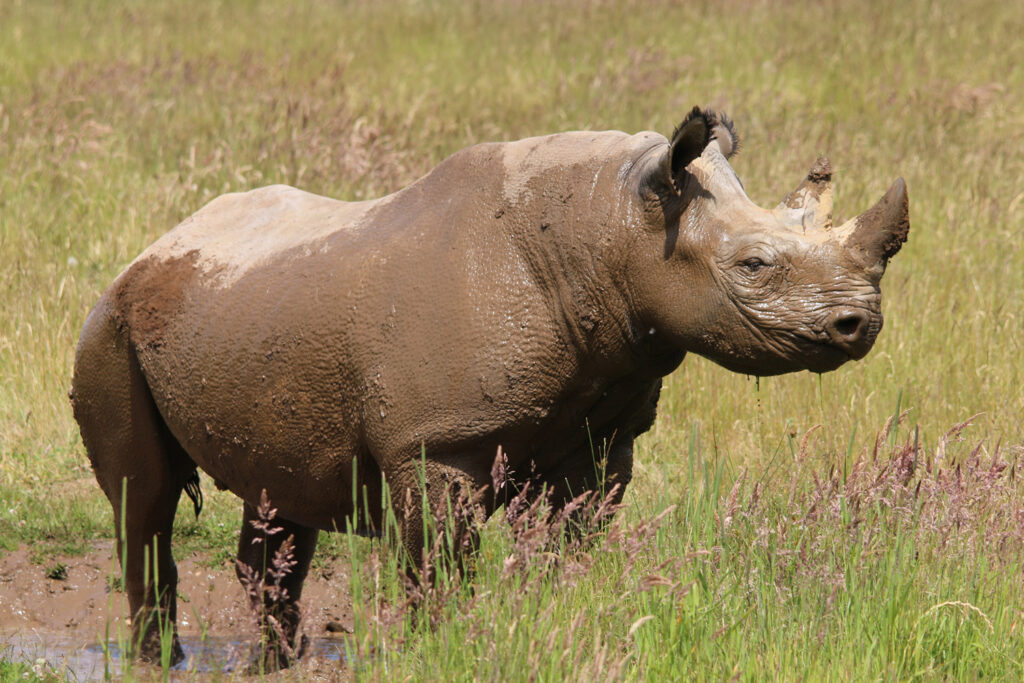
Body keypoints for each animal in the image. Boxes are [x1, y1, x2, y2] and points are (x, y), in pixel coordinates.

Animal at [71, 107, 909, 669]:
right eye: (754, 266)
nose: (858, 323)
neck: (614, 227)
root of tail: (157, 245)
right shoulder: (438, 439)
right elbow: (439, 563)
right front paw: (435, 650)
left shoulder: (602, 431)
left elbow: (567, 545)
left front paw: (552, 626)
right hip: (108, 324)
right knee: (143, 501)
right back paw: (158, 659)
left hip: (244, 313)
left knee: (277, 507)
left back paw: (273, 661)